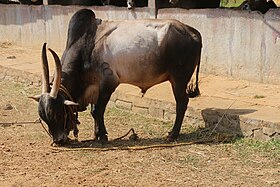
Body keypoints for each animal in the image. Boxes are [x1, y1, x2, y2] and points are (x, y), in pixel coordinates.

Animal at [30, 9, 202, 145]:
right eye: (43, 118)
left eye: (58, 113)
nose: (58, 140)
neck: (86, 47)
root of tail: (193, 32)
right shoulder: (95, 88)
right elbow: (94, 111)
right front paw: (96, 134)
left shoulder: (108, 83)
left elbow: (97, 111)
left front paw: (103, 136)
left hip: (179, 78)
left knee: (182, 102)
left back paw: (173, 135)